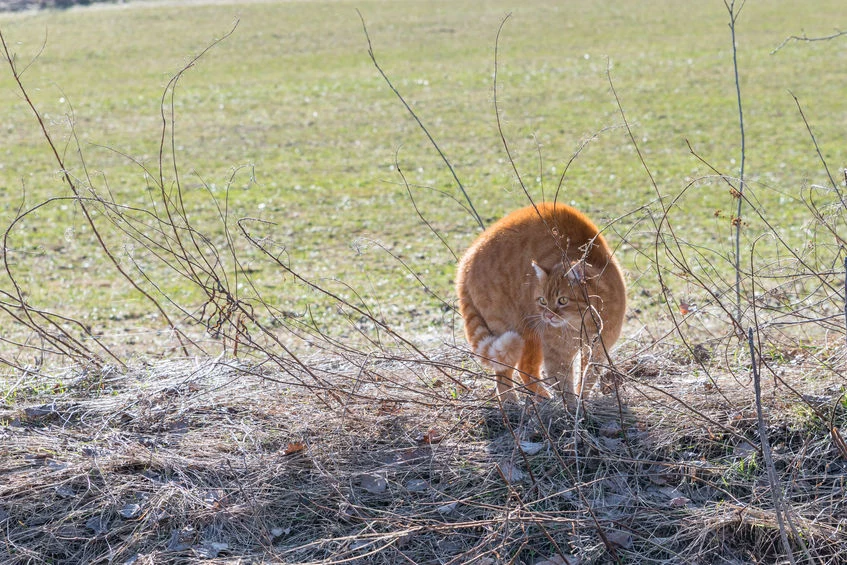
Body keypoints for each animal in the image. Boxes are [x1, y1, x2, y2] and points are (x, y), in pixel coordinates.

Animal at [458, 200, 628, 404]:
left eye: (562, 300)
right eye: (542, 301)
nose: (547, 316)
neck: (582, 322)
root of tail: (466, 260)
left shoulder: (598, 348)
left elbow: (588, 377)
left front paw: (582, 399)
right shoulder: (557, 354)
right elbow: (564, 383)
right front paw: (573, 407)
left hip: (531, 337)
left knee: (525, 368)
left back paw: (541, 397)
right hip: (510, 329)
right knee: (503, 371)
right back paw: (510, 401)